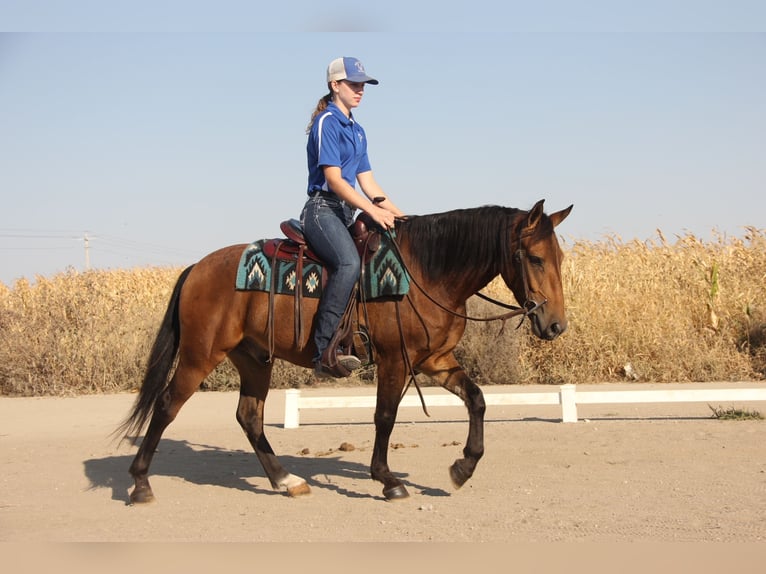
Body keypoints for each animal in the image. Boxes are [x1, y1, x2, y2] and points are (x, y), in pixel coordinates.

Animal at [120, 200, 572, 502]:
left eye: (561, 257)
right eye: (534, 257)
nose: (555, 325)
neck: (424, 273)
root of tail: (196, 268)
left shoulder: (434, 361)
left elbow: (477, 400)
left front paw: (463, 466)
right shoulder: (395, 359)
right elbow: (385, 417)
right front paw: (388, 480)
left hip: (253, 359)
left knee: (249, 416)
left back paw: (286, 480)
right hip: (200, 355)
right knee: (166, 406)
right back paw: (140, 484)